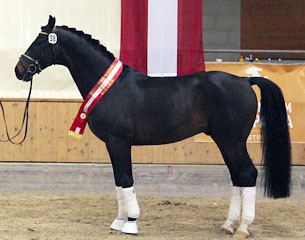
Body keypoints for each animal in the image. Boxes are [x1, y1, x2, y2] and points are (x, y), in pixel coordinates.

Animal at [14, 16, 290, 236]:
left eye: (39, 42)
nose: (19, 70)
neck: (110, 87)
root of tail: (245, 81)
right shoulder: (112, 145)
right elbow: (118, 181)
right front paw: (118, 221)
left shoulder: (120, 142)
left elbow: (126, 179)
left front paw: (131, 223)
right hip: (226, 142)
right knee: (237, 177)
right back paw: (229, 225)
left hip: (232, 142)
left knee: (247, 174)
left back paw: (243, 227)